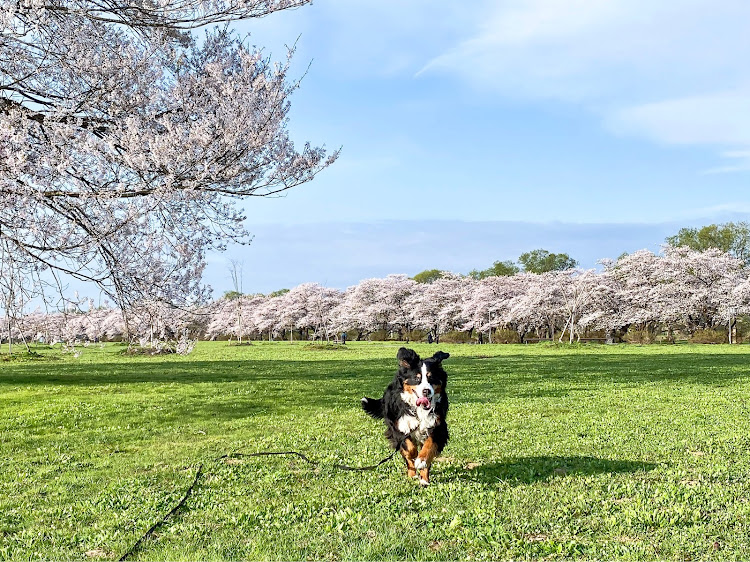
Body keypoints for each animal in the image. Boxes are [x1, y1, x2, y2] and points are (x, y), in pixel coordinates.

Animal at [362, 344, 450, 484]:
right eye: (417, 378)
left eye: (431, 378)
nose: (426, 391)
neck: (418, 411)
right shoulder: (398, 426)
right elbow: (409, 448)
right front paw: (414, 457)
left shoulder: (438, 426)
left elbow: (429, 446)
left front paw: (422, 460)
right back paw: (412, 474)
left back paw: (424, 480)